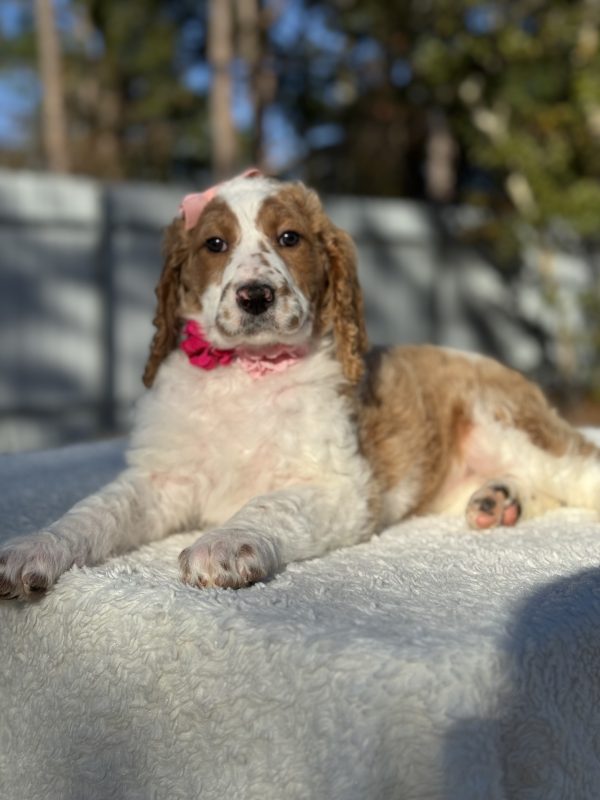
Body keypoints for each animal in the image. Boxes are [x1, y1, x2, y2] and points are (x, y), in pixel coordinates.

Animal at [1, 170, 599, 599]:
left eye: (289, 238)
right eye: (214, 244)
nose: (255, 296)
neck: (246, 371)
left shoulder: (340, 485)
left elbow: (268, 504)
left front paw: (223, 544)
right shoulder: (159, 478)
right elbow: (93, 512)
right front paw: (33, 548)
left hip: (513, 424)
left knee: (577, 468)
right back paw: (499, 500)